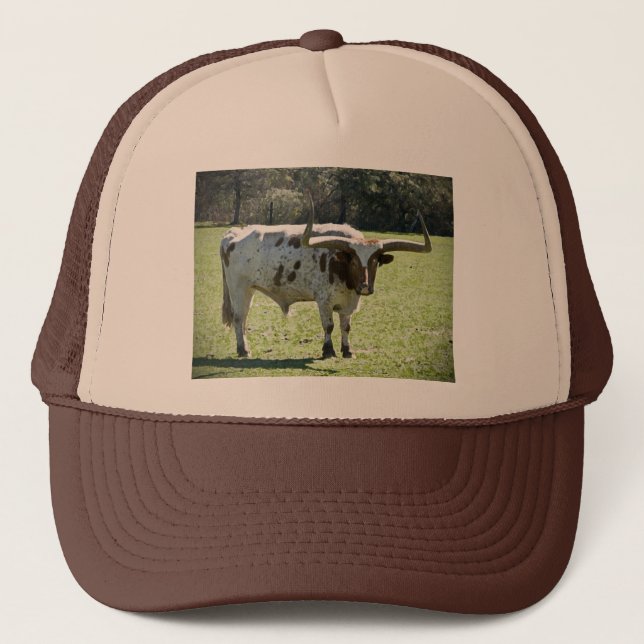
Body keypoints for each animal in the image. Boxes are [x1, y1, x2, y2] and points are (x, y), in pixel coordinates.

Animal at [220, 209, 432, 359]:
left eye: (375, 261)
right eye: (353, 261)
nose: (364, 286)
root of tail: (233, 233)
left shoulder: (348, 303)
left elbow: (346, 326)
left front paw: (347, 350)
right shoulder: (324, 301)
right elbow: (329, 326)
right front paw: (328, 351)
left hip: (249, 290)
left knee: (244, 320)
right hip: (238, 289)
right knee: (238, 318)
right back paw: (243, 350)